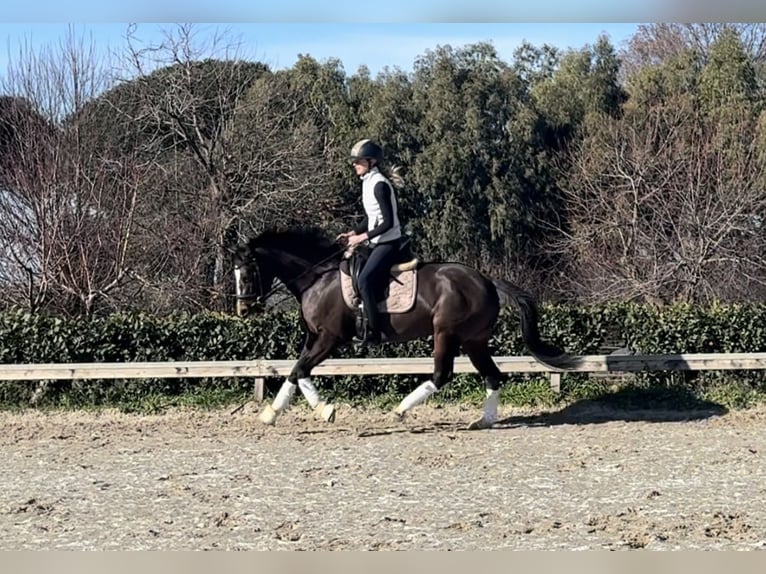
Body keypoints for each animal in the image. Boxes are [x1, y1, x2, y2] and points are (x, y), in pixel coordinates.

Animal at [232, 226, 578, 429]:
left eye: (246, 273)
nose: (244, 309)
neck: (319, 276)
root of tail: (486, 279)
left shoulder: (329, 338)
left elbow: (300, 370)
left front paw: (324, 410)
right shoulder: (314, 336)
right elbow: (294, 372)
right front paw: (271, 413)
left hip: (446, 334)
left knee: (442, 375)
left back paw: (400, 411)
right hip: (473, 340)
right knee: (492, 375)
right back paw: (484, 420)